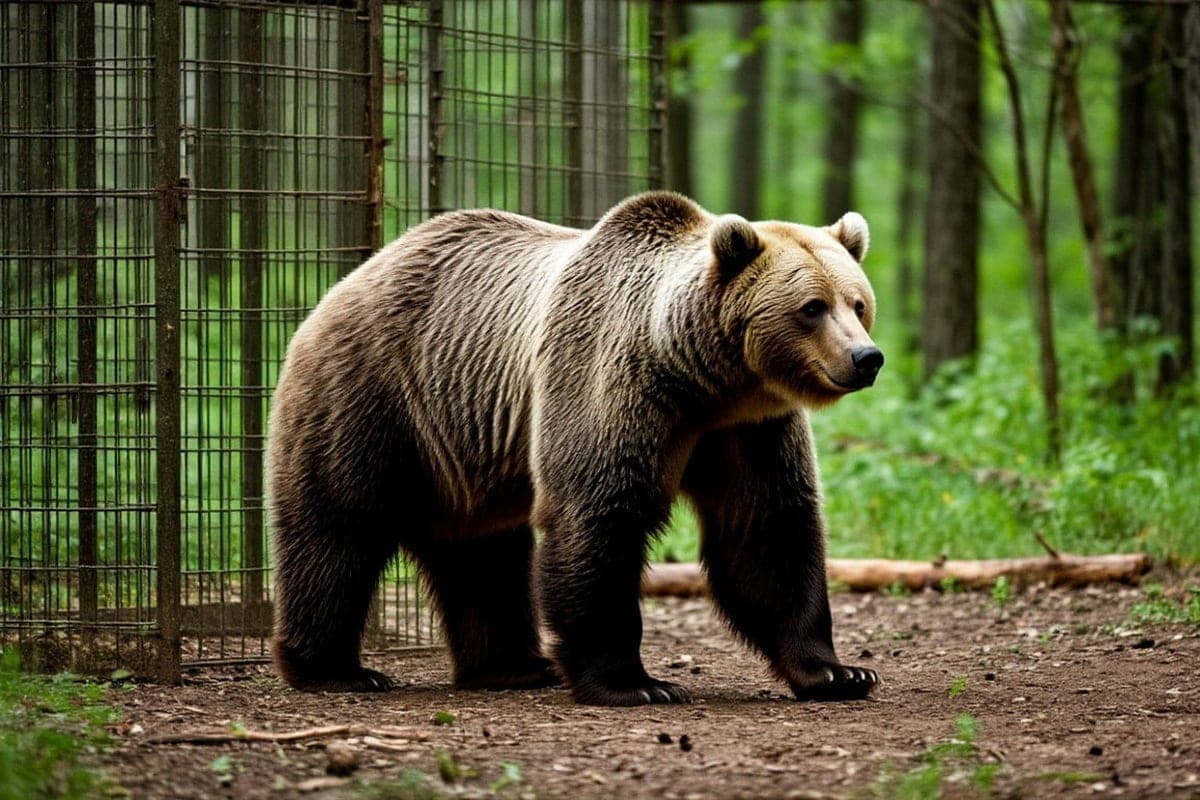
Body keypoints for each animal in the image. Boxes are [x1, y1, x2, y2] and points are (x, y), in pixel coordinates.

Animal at [267, 191, 884, 706]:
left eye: (857, 303)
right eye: (811, 307)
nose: (867, 358)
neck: (706, 381)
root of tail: (348, 278)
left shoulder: (748, 429)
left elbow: (767, 530)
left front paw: (839, 672)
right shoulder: (612, 380)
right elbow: (599, 513)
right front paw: (634, 683)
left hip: (463, 445)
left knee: (483, 552)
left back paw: (512, 666)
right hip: (375, 396)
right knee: (340, 526)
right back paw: (336, 669)